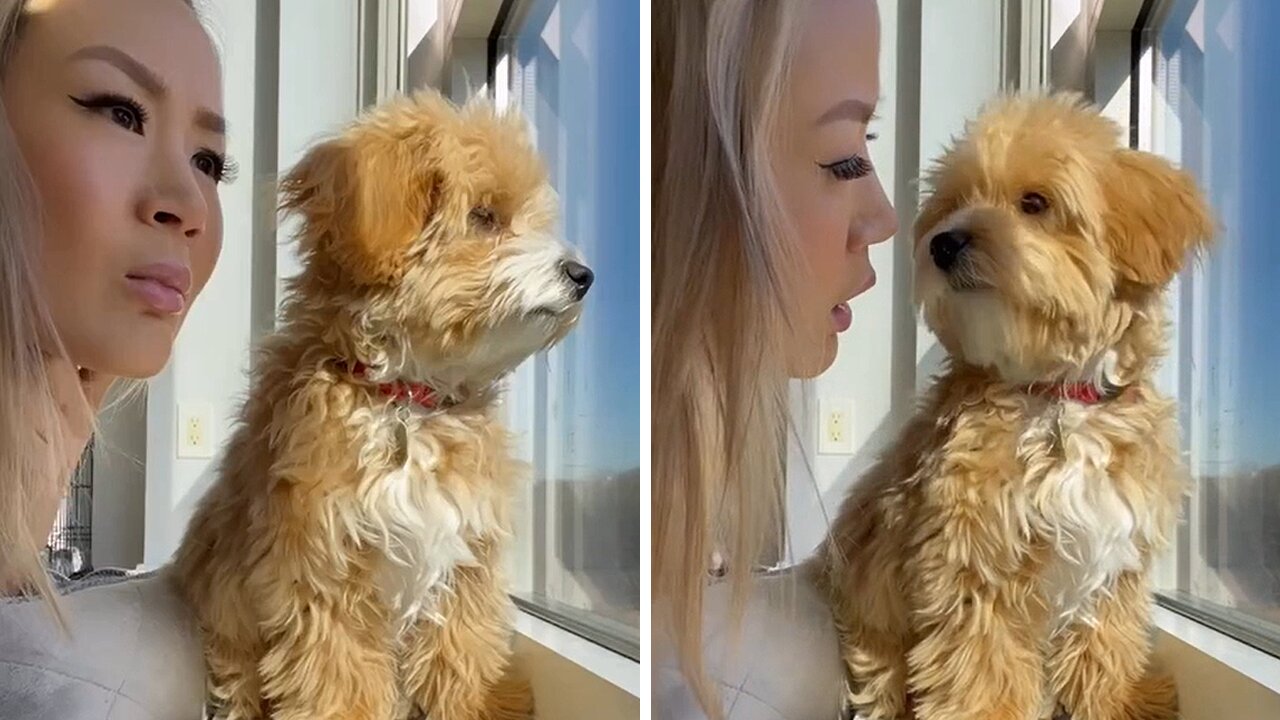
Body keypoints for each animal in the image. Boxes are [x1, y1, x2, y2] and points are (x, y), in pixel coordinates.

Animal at [167, 89, 591, 717]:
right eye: (484, 216)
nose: (584, 275)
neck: (407, 400)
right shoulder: (324, 579)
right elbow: (340, 687)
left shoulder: (464, 574)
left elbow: (463, 669)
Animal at [814, 94, 1213, 717]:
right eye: (954, 205)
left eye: (1035, 203)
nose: (943, 243)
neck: (1058, 396)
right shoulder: (975, 571)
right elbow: (983, 675)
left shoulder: (1113, 572)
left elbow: (1106, 660)